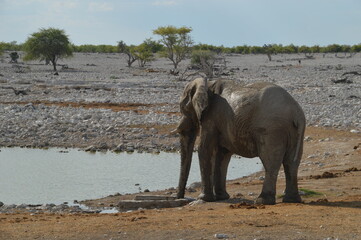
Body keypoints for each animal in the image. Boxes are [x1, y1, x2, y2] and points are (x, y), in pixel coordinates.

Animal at [172, 77, 304, 204]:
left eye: (183, 108)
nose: (180, 198)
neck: (207, 84)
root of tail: (296, 113)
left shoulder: (211, 117)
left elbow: (205, 149)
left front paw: (204, 199)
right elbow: (222, 154)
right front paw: (221, 197)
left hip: (271, 129)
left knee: (270, 162)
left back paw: (262, 201)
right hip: (295, 131)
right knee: (291, 163)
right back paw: (291, 200)